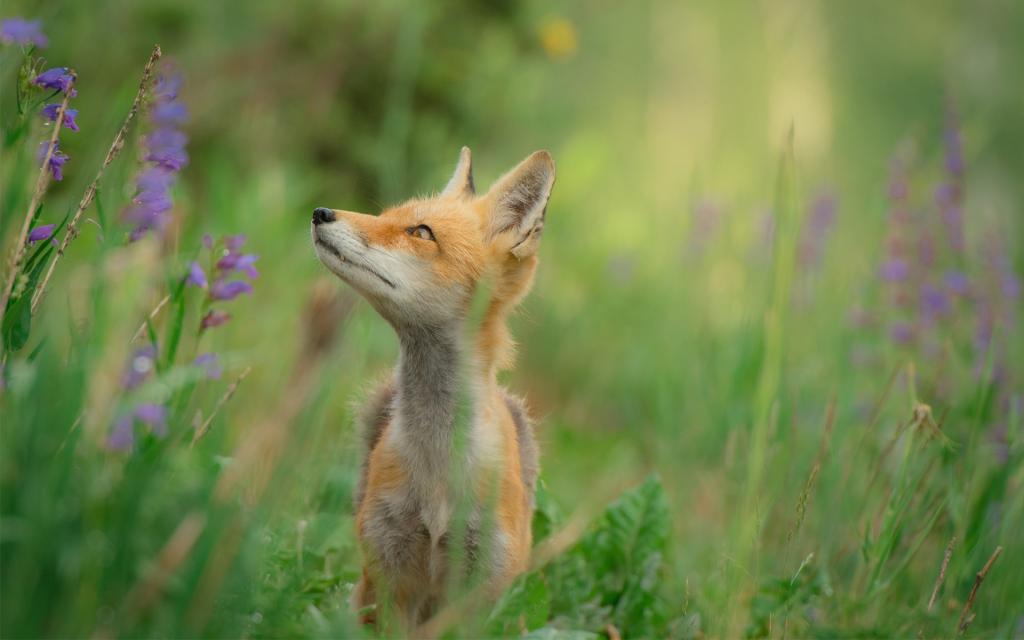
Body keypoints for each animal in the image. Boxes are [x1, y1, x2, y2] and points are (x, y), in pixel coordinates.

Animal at [309, 146, 557, 630]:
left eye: (420, 232)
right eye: (385, 214)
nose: (320, 212)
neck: (438, 470)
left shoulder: (480, 590)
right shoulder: (389, 577)